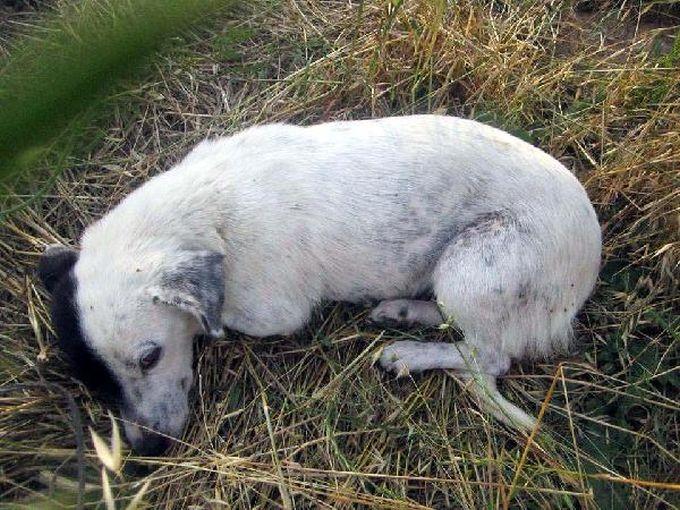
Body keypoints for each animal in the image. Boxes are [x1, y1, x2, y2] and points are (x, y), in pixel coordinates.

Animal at [38, 114, 600, 454]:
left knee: (489, 355)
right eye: (91, 378)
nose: (145, 450)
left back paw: (409, 353)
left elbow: (219, 321)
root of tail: (584, 277)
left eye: (150, 357)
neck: (207, 209)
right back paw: (401, 310)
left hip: (472, 266)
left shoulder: (274, 313)